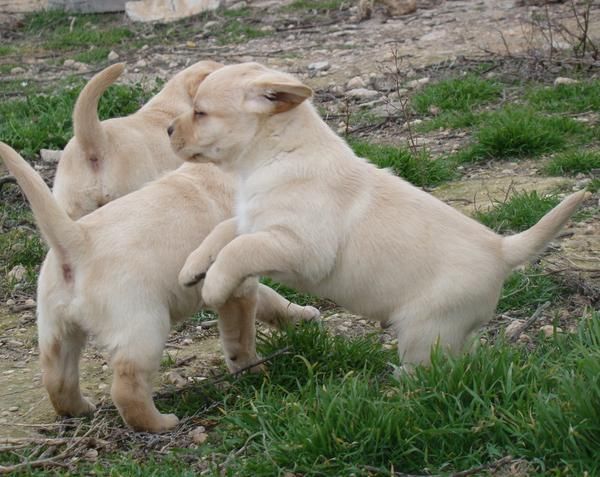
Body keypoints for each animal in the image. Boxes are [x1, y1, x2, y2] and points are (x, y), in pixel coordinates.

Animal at [0, 141, 318, 432]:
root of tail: (77, 239)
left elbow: (271, 300)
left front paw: (302, 315)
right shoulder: (236, 285)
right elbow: (241, 337)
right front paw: (254, 370)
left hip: (57, 328)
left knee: (57, 378)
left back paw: (79, 409)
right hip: (144, 326)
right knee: (127, 390)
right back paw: (161, 423)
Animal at [171, 62, 588, 368]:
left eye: (200, 112)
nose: (169, 128)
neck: (276, 153)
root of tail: (502, 249)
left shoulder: (298, 247)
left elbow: (239, 249)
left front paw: (213, 286)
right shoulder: (253, 220)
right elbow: (223, 232)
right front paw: (192, 268)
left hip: (426, 327)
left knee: (434, 371)